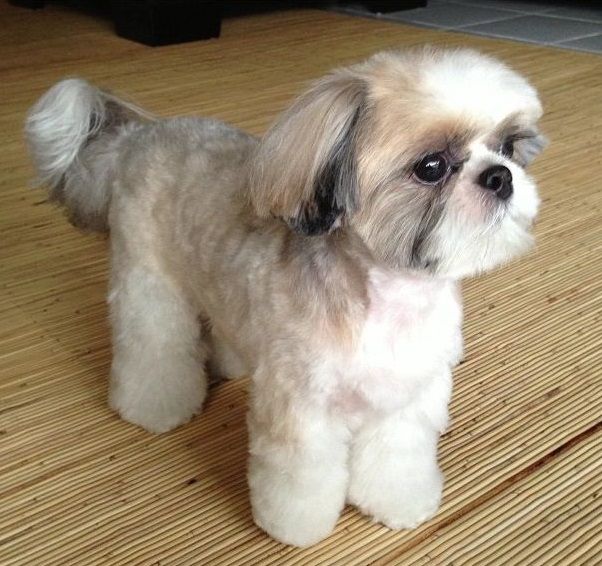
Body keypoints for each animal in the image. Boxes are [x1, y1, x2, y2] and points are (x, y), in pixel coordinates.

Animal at [25, 50, 544, 552]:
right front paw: (294, 529)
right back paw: (154, 407)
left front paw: (398, 502)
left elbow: (396, 459)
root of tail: (138, 137)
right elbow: (300, 480)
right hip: (149, 283)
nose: (500, 176)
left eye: (508, 147)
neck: (388, 301)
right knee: (153, 346)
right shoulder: (303, 409)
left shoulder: (406, 398)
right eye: (431, 167)